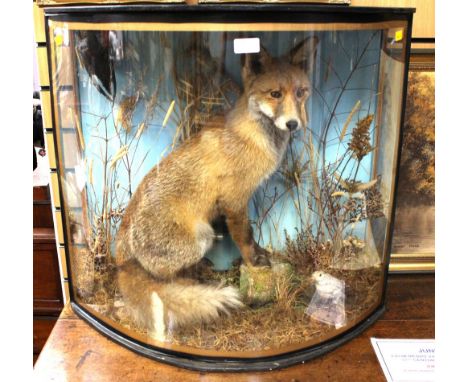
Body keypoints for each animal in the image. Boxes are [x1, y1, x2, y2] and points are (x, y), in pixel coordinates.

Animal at [114, 36, 318, 340]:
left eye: (301, 92)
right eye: (275, 94)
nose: (293, 124)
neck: (255, 137)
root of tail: (122, 257)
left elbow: (253, 236)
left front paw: (262, 254)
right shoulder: (234, 199)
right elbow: (244, 235)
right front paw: (254, 261)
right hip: (202, 236)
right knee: (163, 279)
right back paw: (189, 282)